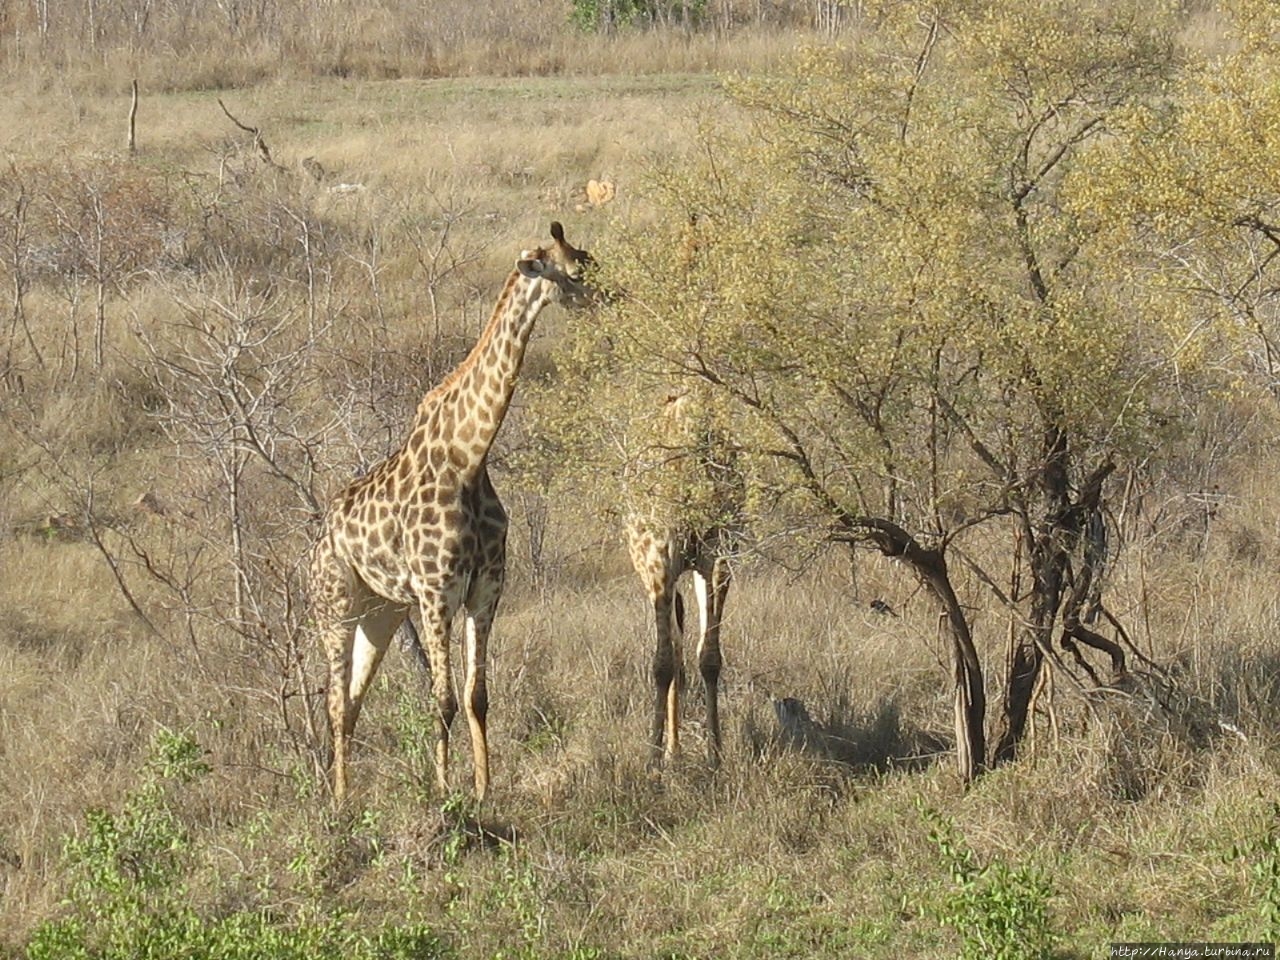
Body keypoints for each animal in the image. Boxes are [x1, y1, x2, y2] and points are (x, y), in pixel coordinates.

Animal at [309, 224, 593, 803]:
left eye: (588, 258)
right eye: (577, 271)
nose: (609, 296)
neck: (469, 456)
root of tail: (319, 539)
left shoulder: (486, 586)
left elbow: (476, 695)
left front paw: (484, 790)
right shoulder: (436, 590)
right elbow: (441, 699)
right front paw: (444, 793)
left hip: (382, 612)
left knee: (351, 701)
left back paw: (346, 799)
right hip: (335, 606)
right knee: (333, 701)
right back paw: (340, 801)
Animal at [627, 389, 747, 768]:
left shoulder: (712, 556)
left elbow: (701, 658)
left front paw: (712, 754)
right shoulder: (666, 558)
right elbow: (671, 660)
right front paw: (656, 759)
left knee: (679, 649)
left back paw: (672, 750)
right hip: (663, 561)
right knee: (682, 650)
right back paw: (679, 751)